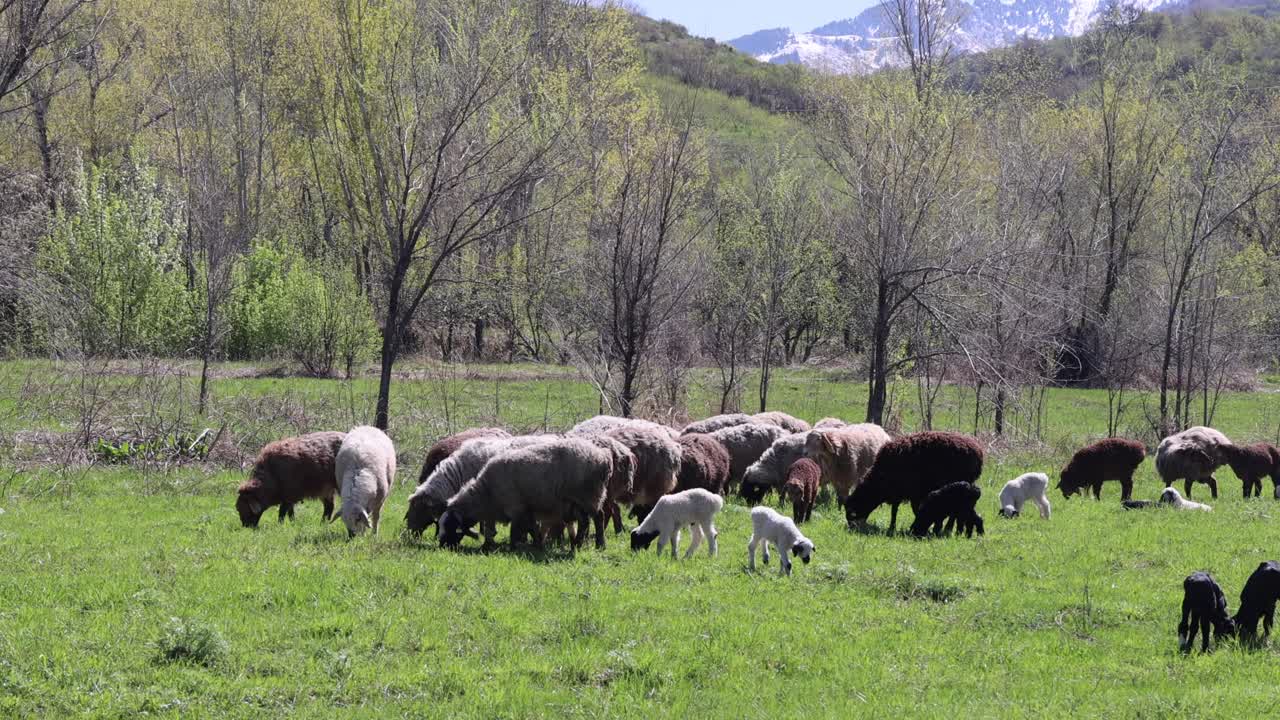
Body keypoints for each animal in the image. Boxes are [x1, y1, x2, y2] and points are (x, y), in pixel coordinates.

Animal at [438, 437, 619, 550]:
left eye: (450, 525)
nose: (442, 547)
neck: (486, 493)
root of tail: (603, 456)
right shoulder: (527, 508)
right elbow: (531, 528)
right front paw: (537, 545)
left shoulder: (515, 507)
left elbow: (516, 530)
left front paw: (513, 547)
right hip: (581, 500)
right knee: (586, 521)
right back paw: (578, 544)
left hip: (590, 496)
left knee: (598, 518)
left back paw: (599, 545)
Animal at [844, 431, 984, 534]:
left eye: (851, 511)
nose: (852, 527)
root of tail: (978, 451)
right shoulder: (898, 492)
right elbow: (895, 511)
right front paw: (892, 527)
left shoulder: (913, 493)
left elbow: (913, 510)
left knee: (955, 513)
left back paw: (948, 529)